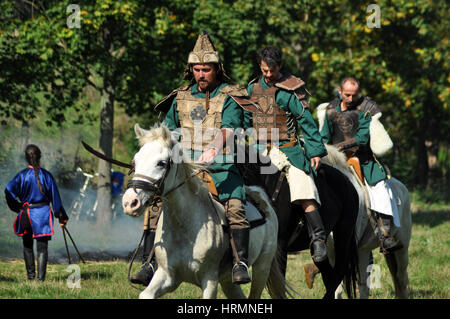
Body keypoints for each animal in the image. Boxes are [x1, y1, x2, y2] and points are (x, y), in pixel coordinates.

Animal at [121, 124, 286, 300]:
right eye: (135, 161)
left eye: (161, 163)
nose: (130, 202)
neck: (183, 226)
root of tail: (261, 196)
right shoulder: (167, 276)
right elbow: (146, 294)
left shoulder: (210, 280)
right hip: (228, 280)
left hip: (262, 267)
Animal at [322, 145, 414, 300]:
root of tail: (402, 187)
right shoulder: (331, 252)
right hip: (364, 251)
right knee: (365, 285)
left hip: (403, 247)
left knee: (401, 278)